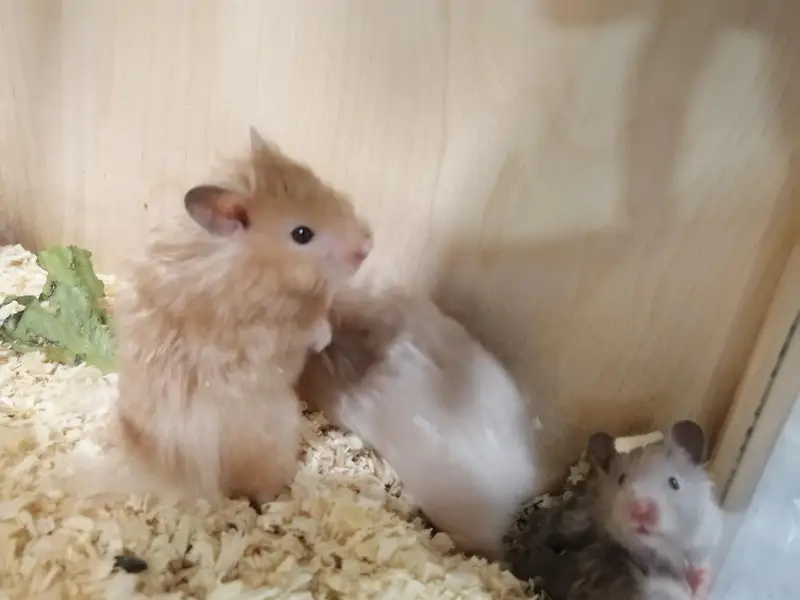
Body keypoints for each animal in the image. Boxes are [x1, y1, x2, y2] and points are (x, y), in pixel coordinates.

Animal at [112, 127, 372, 506]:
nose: (367, 247)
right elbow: (310, 328)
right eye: (302, 234)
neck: (255, 265)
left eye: (325, 185)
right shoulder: (273, 333)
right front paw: (326, 336)